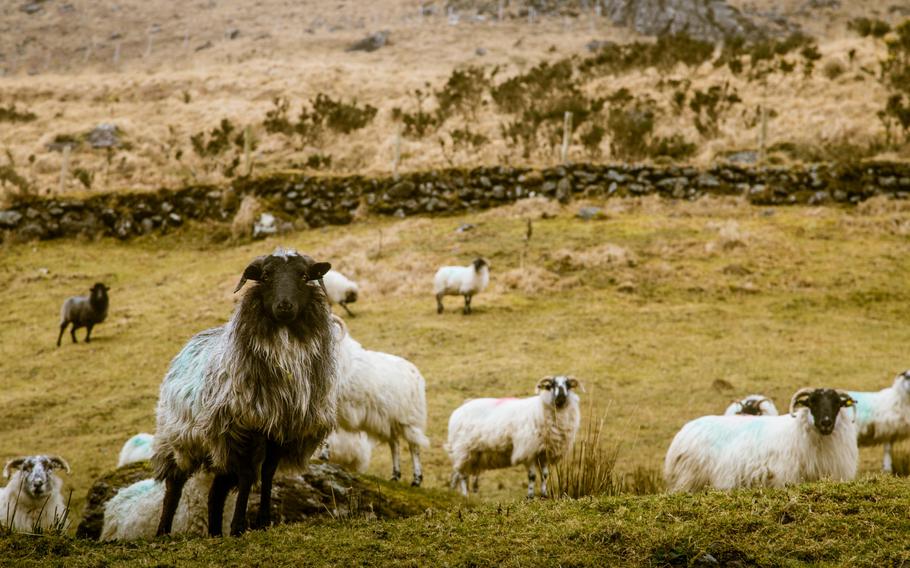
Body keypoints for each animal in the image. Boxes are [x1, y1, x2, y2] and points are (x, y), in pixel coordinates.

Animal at [153, 247, 338, 536]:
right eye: (265, 276)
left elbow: (268, 474)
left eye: (304, 275)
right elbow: (249, 475)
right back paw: (163, 532)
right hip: (177, 437)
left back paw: (215, 534)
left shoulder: (280, 428)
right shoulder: (242, 427)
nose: (284, 306)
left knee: (215, 493)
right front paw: (239, 526)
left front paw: (263, 521)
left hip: (218, 450)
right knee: (174, 485)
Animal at [332, 316, 432, 484]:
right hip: (388, 420)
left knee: (414, 446)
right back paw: (395, 475)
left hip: (409, 419)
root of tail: (416, 373)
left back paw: (417, 479)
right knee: (395, 444)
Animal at [448, 378, 584, 496]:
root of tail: (457, 412)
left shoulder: (544, 452)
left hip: (474, 454)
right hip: (464, 449)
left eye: (568, 385)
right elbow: (532, 476)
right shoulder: (528, 450)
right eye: (552, 385)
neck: (540, 408)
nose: (561, 395)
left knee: (460, 473)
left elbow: (544, 475)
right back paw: (465, 496)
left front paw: (544, 495)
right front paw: (530, 496)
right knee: (462, 475)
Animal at [668, 386, 860, 492]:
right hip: (687, 480)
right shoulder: (785, 477)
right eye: (812, 402)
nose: (826, 422)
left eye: (837, 403)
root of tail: (684, 431)